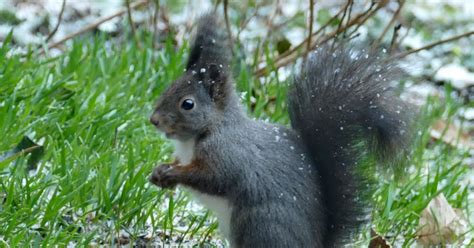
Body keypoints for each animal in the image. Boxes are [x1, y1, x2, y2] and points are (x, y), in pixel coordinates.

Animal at [148, 14, 412, 248]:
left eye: (187, 104)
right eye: (169, 88)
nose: (154, 120)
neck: (204, 132)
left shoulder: (227, 153)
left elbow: (212, 178)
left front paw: (173, 173)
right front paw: (160, 171)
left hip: (259, 223)